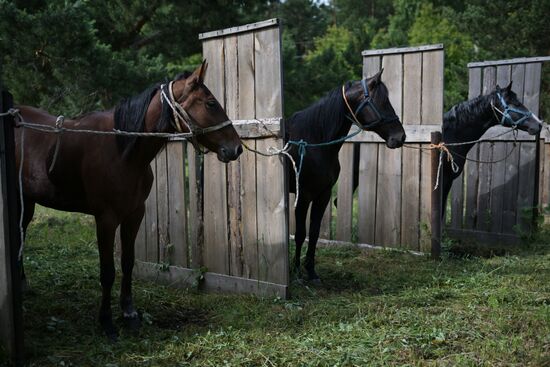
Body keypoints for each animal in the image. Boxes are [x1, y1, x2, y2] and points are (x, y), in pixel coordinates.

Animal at [14, 61, 244, 340]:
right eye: (211, 103)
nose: (236, 148)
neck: (122, 149)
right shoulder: (106, 219)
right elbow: (107, 271)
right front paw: (106, 321)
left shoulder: (134, 215)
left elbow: (128, 263)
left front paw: (129, 313)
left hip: (26, 202)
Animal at [286, 70, 408, 284]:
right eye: (383, 102)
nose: (400, 137)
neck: (313, 141)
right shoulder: (303, 197)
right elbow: (300, 234)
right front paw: (297, 272)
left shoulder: (323, 195)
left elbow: (314, 232)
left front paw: (311, 272)